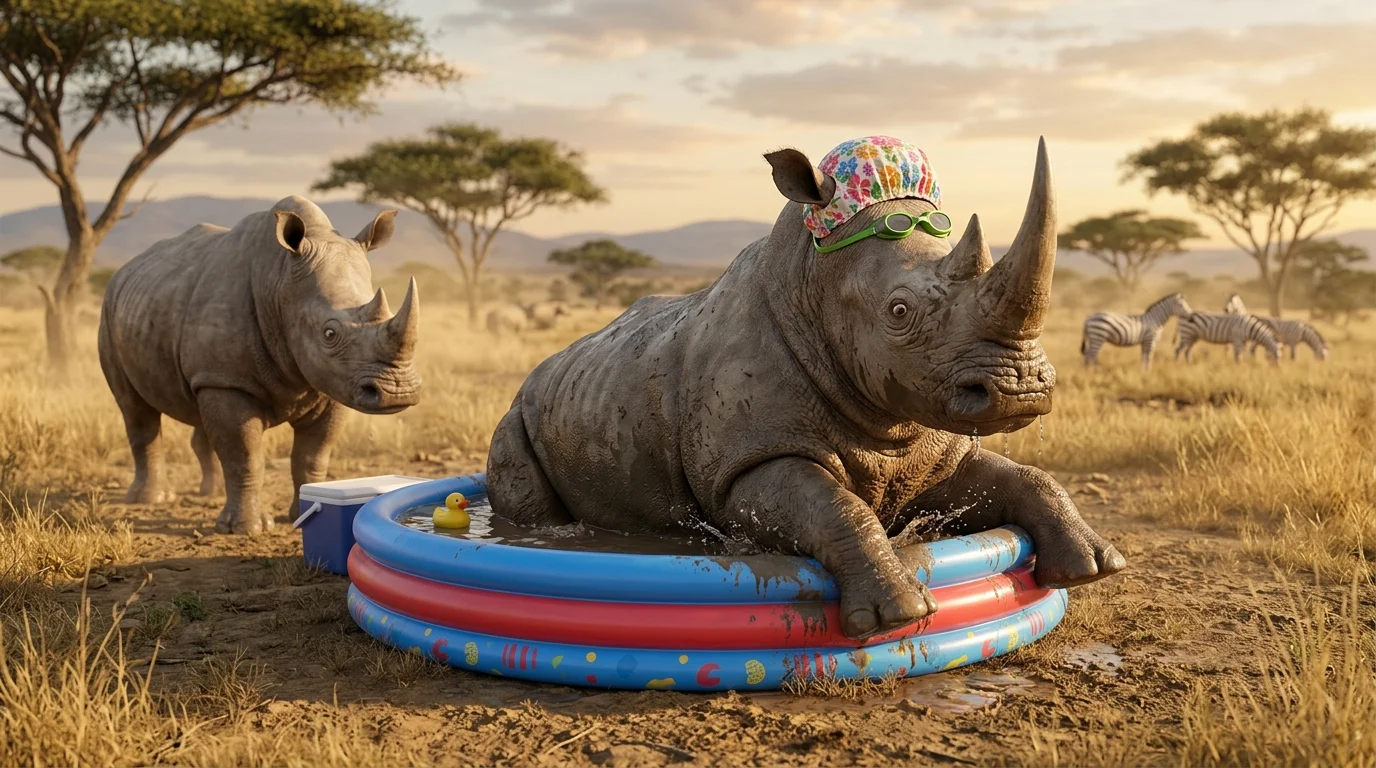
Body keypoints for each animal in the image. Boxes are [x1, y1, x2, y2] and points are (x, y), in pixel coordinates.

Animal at [98, 196, 421, 534]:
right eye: (329, 333)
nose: (398, 392)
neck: (279, 281)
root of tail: (124, 271)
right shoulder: (229, 380)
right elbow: (244, 455)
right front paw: (246, 529)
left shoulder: (334, 383)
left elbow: (312, 456)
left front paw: (298, 516)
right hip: (110, 314)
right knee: (135, 410)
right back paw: (149, 500)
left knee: (198, 410)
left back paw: (211, 494)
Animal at [487, 138, 1125, 639]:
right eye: (898, 310)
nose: (1021, 390)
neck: (814, 280)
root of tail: (545, 366)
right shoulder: (744, 463)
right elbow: (834, 505)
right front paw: (898, 614)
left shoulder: (930, 450)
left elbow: (1024, 477)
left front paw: (1094, 566)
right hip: (520, 409)